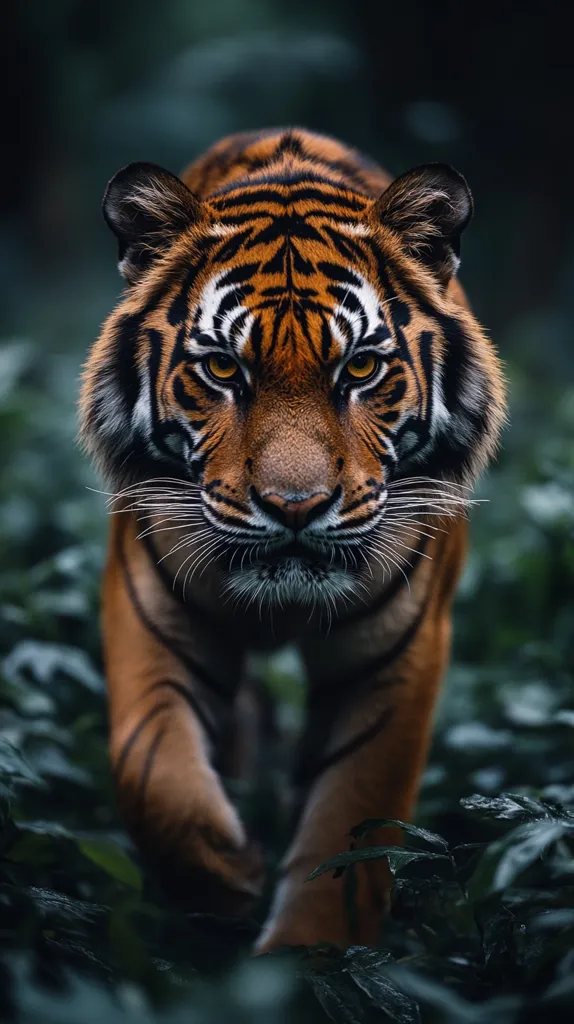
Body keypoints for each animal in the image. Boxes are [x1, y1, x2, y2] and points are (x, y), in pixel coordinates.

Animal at [79, 127, 506, 952]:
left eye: (361, 368)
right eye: (222, 368)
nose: (296, 507)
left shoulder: (398, 652)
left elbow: (352, 820)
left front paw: (306, 960)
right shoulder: (150, 608)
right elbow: (150, 773)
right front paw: (228, 878)